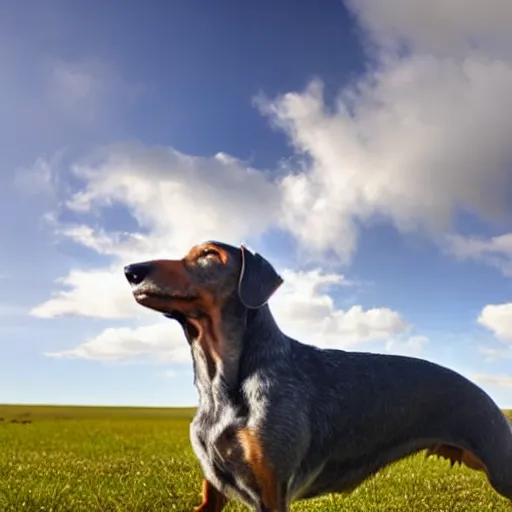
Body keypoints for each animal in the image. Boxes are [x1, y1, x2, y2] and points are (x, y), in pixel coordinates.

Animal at [124, 242, 512, 510]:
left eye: (209, 254)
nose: (131, 269)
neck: (220, 387)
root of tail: (485, 395)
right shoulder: (212, 490)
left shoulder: (272, 490)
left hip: (501, 467)